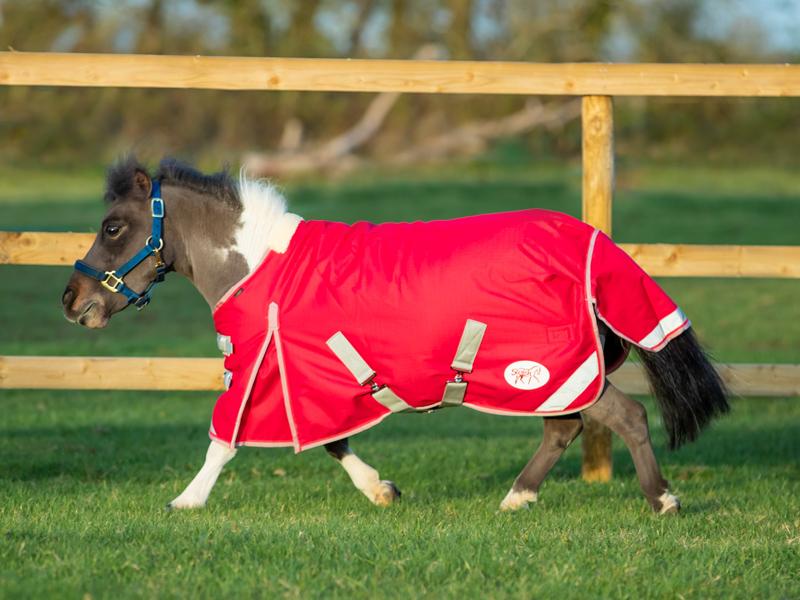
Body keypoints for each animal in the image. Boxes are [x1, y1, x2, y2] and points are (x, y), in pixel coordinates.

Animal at [62, 157, 729, 514]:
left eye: (113, 226)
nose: (72, 301)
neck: (259, 266)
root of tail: (587, 240)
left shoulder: (258, 369)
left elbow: (224, 440)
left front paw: (186, 501)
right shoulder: (308, 379)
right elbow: (332, 441)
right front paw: (381, 490)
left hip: (553, 367)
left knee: (626, 417)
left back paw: (663, 500)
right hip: (555, 376)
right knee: (565, 427)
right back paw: (516, 497)